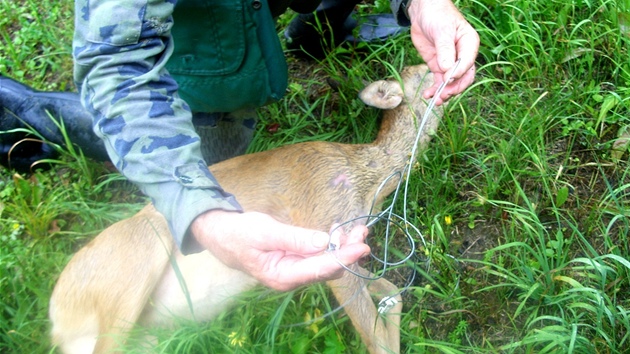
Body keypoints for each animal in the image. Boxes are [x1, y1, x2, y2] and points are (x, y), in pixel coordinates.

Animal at [49, 63, 444, 354]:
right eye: (424, 70)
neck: (366, 177)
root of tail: (56, 316)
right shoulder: (325, 222)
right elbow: (375, 337)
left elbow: (393, 295)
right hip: (129, 272)